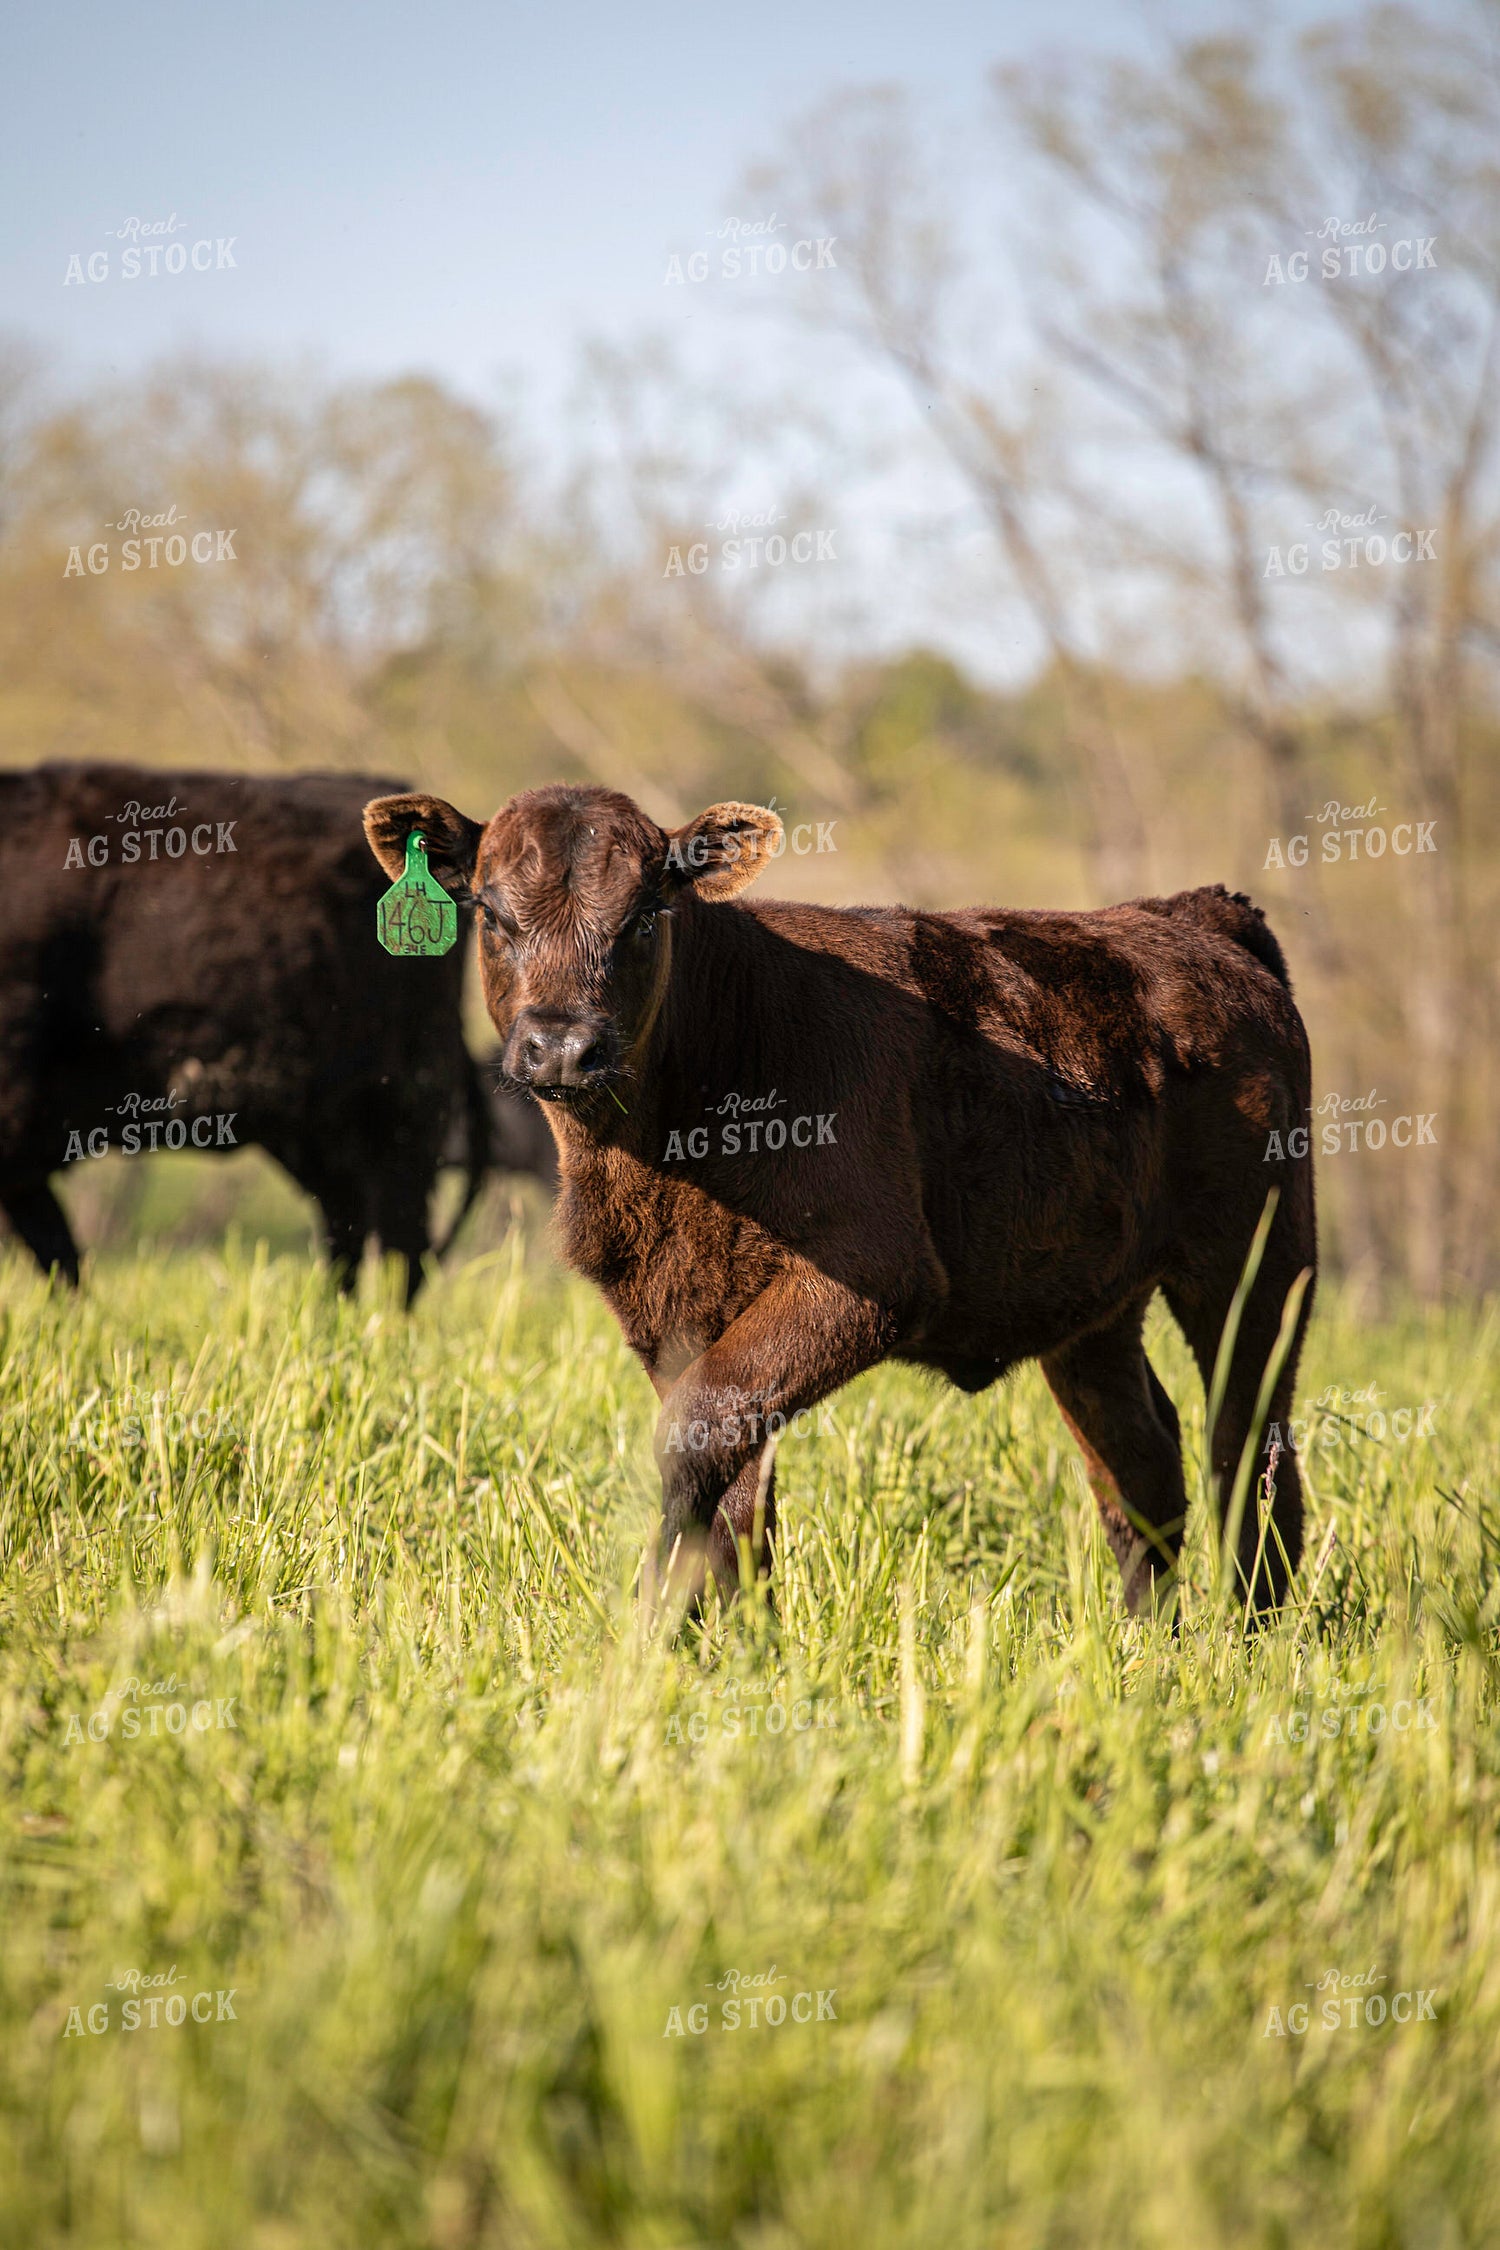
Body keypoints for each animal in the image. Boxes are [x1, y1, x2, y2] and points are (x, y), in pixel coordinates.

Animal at [365, 782, 1318, 1618]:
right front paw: (735, 1644)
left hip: (1256, 1262)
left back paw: (1249, 1635)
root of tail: (1187, 915)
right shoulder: (676, 1311)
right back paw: (1145, 1646)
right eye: (492, 913)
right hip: (1090, 1305)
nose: (563, 1046)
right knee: (1140, 1463)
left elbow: (689, 1437)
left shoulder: (873, 1277)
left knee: (1251, 1448)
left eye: (643, 917)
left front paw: (647, 1631)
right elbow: (733, 1482)